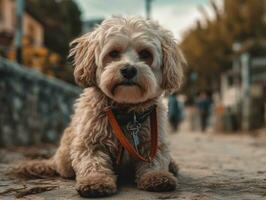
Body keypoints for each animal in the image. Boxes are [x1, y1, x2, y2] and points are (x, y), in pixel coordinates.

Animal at [15, 15, 186, 197]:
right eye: (114, 53)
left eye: (145, 54)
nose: (128, 70)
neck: (125, 111)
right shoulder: (90, 143)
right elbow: (93, 163)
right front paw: (95, 181)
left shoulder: (153, 141)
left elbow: (155, 160)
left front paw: (157, 176)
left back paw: (172, 166)